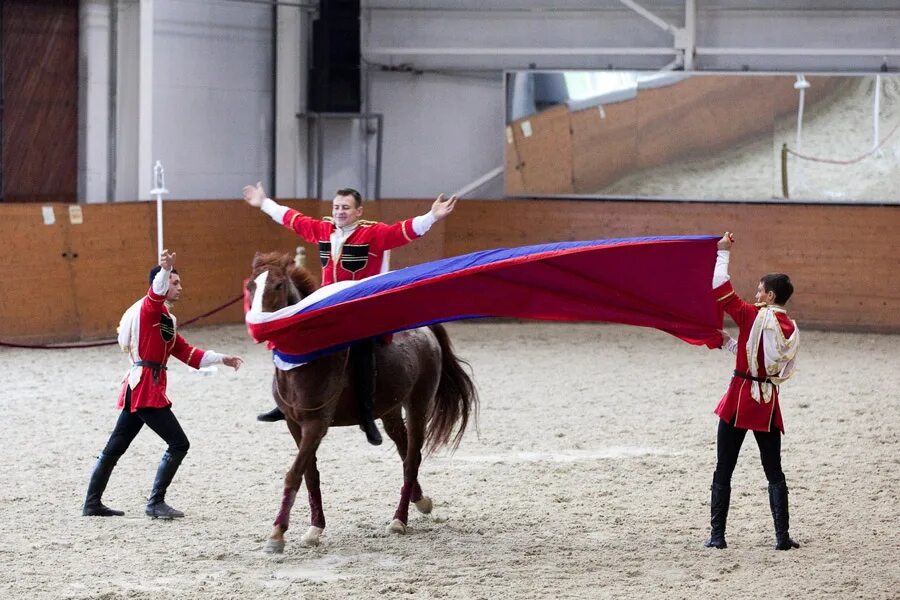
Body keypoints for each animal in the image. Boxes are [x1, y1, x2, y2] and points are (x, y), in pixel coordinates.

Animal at [246, 252, 478, 552]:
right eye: (251, 286)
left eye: (278, 285)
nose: (257, 325)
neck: (304, 362)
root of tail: (425, 329)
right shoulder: (294, 425)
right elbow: (310, 473)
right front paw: (314, 529)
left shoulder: (316, 424)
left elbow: (294, 473)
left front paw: (277, 535)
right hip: (390, 411)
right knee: (404, 452)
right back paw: (420, 501)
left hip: (419, 403)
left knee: (412, 457)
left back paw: (399, 520)